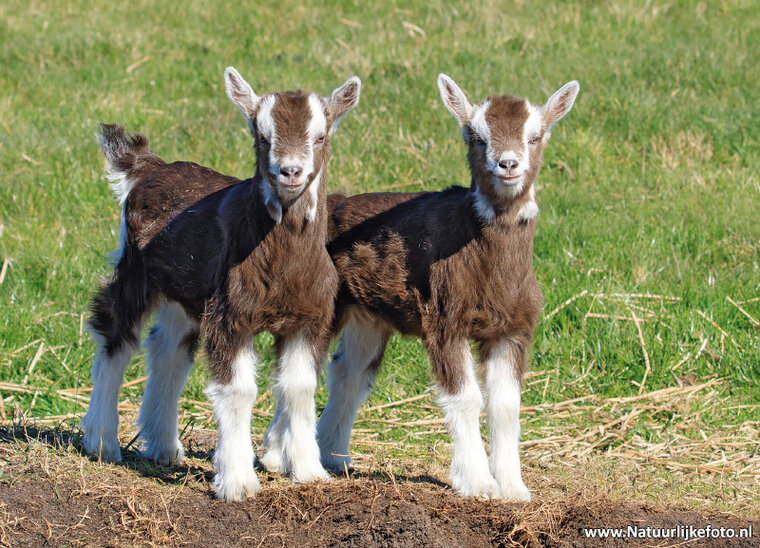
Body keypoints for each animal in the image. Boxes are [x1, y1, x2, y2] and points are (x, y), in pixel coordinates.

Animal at [79, 67, 361, 501]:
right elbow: (239, 390)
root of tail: (150, 167)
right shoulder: (231, 315)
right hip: (135, 269)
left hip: (185, 289)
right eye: (262, 136)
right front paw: (238, 481)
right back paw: (101, 442)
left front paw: (310, 472)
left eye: (320, 136)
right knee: (115, 335)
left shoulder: (309, 318)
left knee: (168, 349)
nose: (290, 171)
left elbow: (300, 388)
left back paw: (163, 446)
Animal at [315, 74, 579, 500]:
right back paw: (280, 458)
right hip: (326, 299)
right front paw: (478, 483)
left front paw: (514, 487)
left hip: (370, 314)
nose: (508, 163)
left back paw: (331, 456)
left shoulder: (514, 327)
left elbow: (506, 405)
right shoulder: (444, 316)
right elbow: (467, 398)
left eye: (535, 136)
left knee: (349, 372)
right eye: (478, 137)